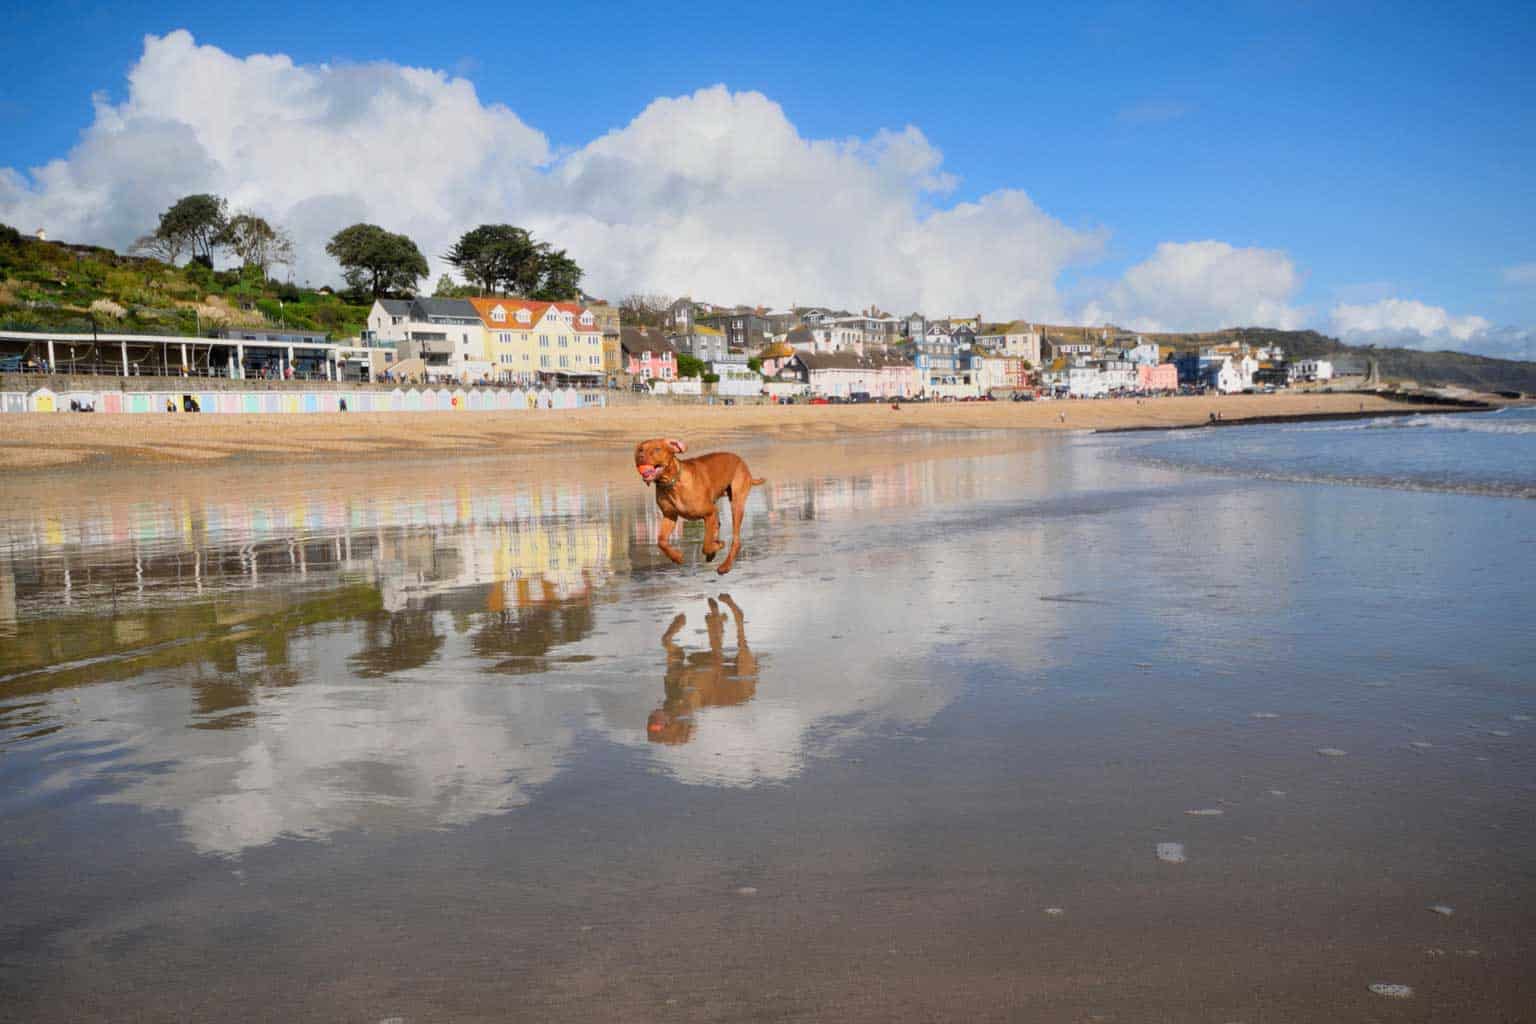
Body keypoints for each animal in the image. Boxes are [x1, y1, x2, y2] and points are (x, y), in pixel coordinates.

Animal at [632, 436, 764, 574]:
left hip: (736, 504)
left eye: (657, 449)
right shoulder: (670, 516)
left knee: (735, 539)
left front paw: (717, 546)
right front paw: (676, 557)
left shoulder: (709, 513)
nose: (640, 456)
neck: (673, 483)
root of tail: (741, 460)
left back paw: (725, 565)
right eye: (640, 449)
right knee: (718, 525)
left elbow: (706, 545)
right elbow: (661, 541)